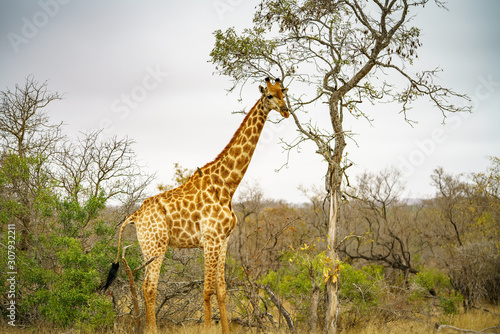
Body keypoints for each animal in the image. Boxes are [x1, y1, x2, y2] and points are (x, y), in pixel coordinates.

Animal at [101, 77, 290, 332]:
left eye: (283, 93)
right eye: (269, 95)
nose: (286, 111)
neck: (227, 186)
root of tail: (135, 216)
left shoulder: (223, 240)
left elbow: (221, 290)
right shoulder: (210, 240)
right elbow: (207, 290)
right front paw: (209, 328)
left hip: (147, 248)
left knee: (144, 286)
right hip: (156, 246)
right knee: (149, 287)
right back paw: (152, 329)